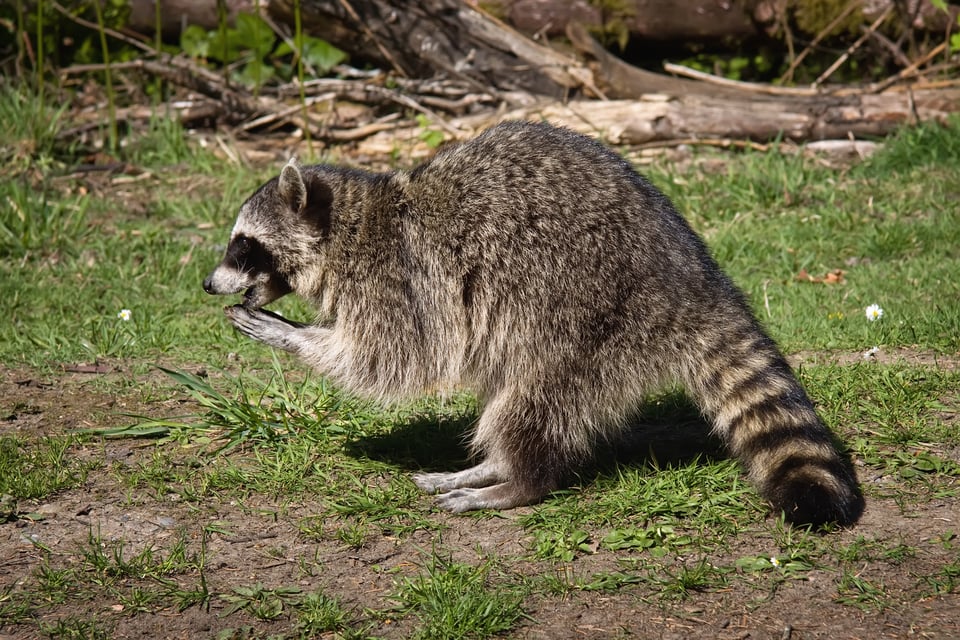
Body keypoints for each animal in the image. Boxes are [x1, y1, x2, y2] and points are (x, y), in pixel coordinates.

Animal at [203, 121, 862, 527]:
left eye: (243, 246)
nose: (208, 284)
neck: (348, 225)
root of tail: (695, 279)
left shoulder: (399, 277)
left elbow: (392, 358)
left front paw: (294, 335)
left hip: (587, 316)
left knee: (534, 399)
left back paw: (514, 481)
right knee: (508, 393)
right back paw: (488, 464)